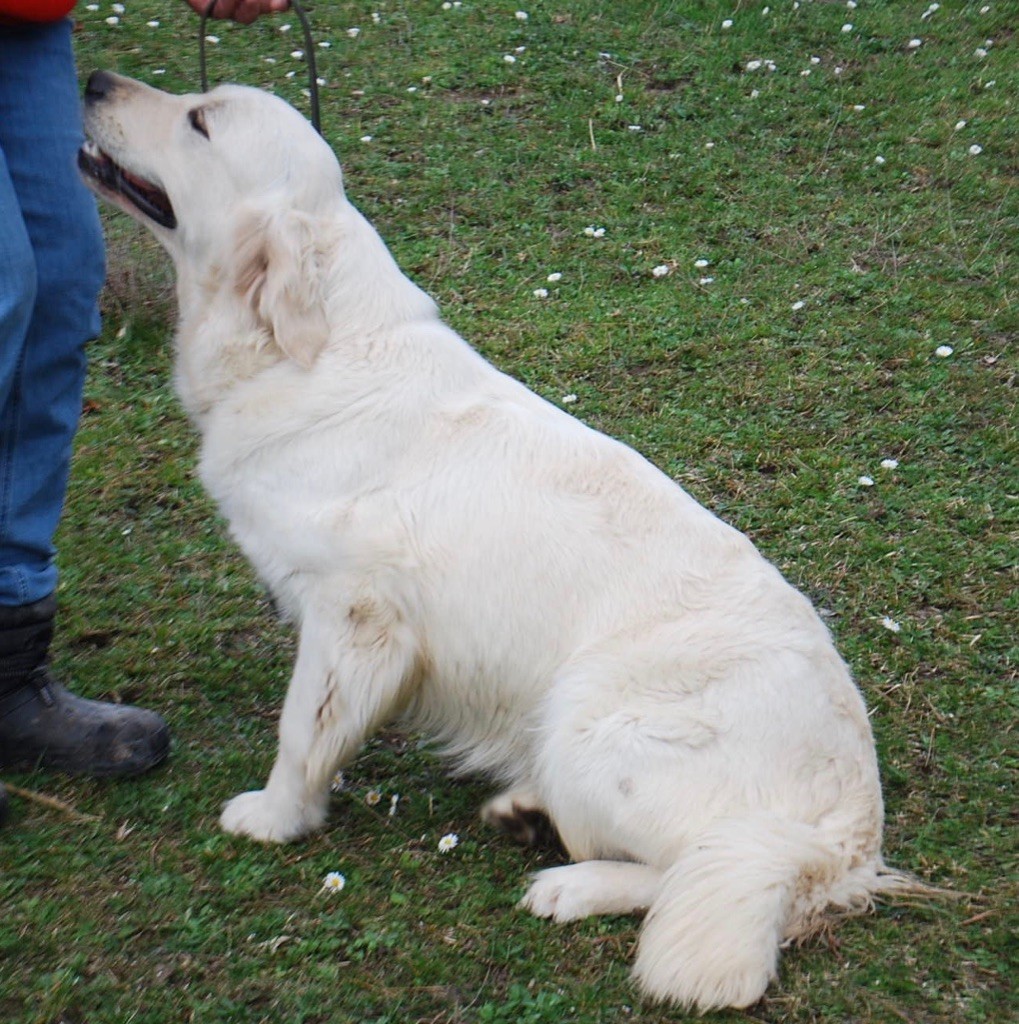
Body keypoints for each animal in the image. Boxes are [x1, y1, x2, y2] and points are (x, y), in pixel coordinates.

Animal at [75, 72, 913, 1007]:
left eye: (200, 119)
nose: (97, 79)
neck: (307, 345)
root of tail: (846, 835)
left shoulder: (354, 614)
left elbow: (302, 731)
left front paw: (276, 815)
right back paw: (525, 815)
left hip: (586, 722)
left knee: (692, 867)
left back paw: (566, 880)